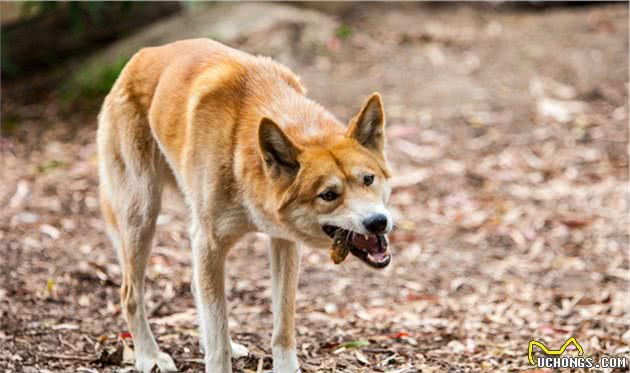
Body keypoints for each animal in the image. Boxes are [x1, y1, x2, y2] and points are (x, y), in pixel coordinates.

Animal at [97, 38, 396, 372]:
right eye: (329, 195)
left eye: (368, 179)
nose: (378, 222)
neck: (239, 146)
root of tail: (144, 53)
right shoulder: (210, 243)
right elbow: (217, 337)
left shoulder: (283, 242)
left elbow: (282, 326)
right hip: (143, 216)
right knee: (130, 294)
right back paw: (149, 356)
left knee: (197, 290)